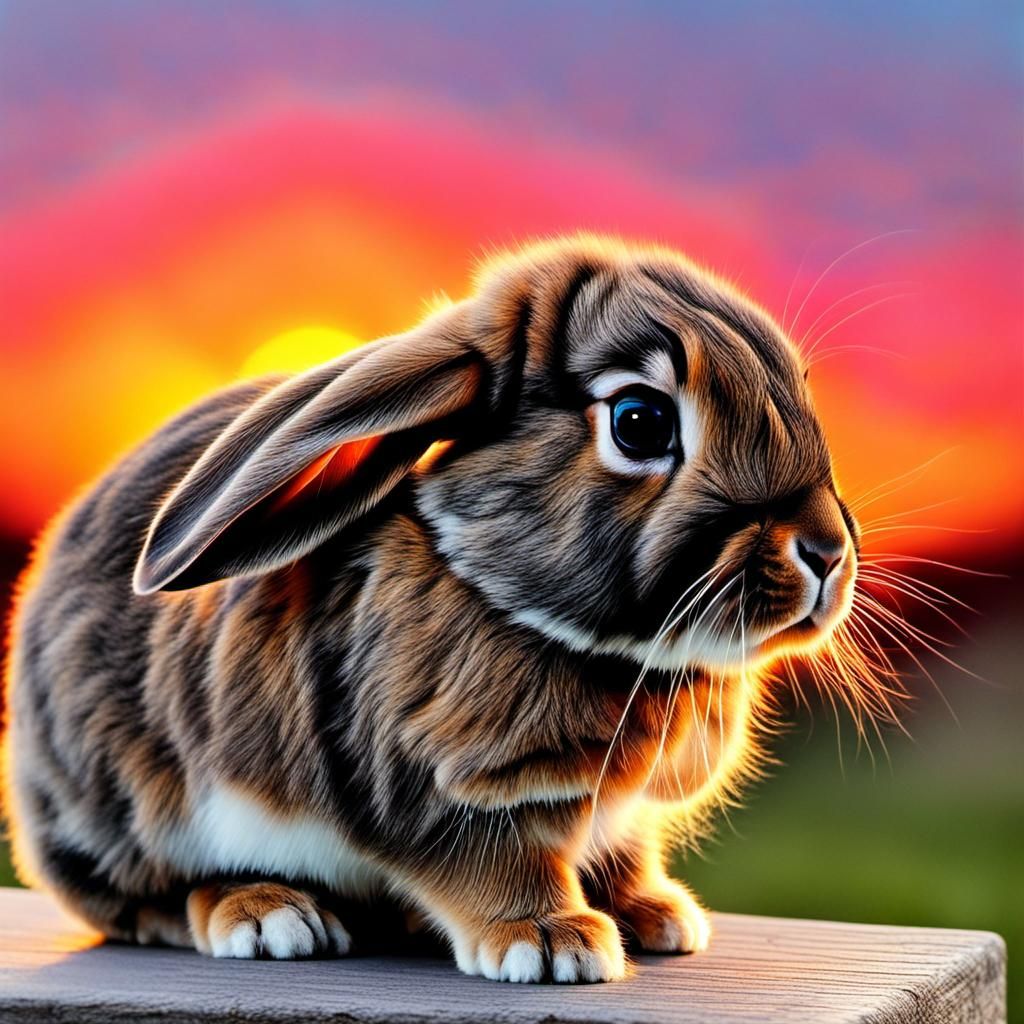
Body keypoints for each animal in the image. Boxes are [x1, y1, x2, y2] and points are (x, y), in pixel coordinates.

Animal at [3, 235, 858, 983]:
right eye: (639, 421)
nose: (825, 552)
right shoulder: (451, 790)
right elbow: (499, 864)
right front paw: (553, 943)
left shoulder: (624, 818)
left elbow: (624, 854)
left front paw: (659, 916)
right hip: (138, 814)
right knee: (150, 902)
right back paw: (268, 915)